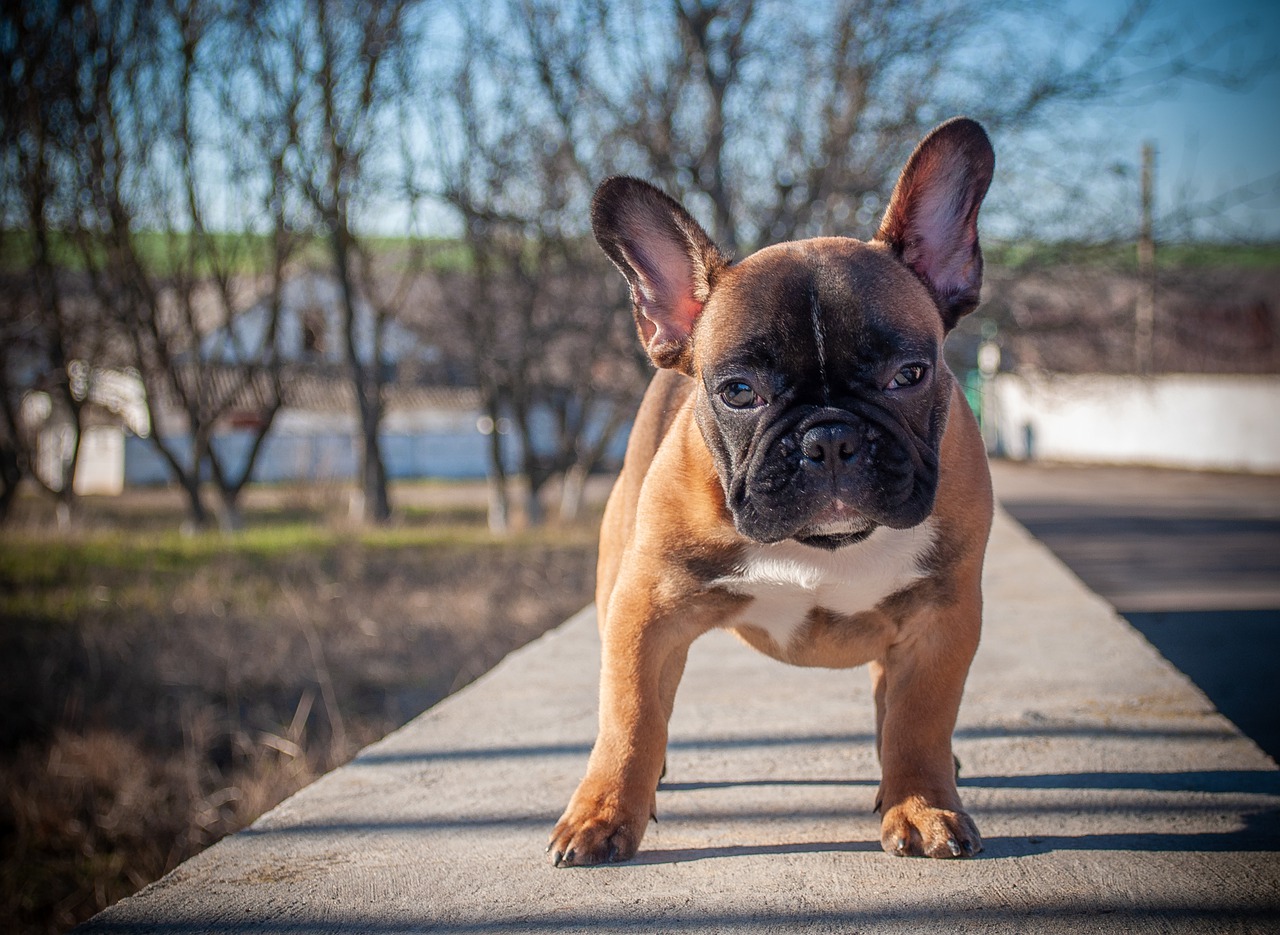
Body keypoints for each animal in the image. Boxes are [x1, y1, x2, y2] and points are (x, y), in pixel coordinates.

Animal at [545, 118, 993, 865]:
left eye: (909, 373)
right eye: (738, 391)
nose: (829, 438)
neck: (825, 545)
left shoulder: (943, 614)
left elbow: (921, 719)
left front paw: (923, 804)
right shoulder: (646, 610)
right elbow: (631, 716)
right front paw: (602, 813)